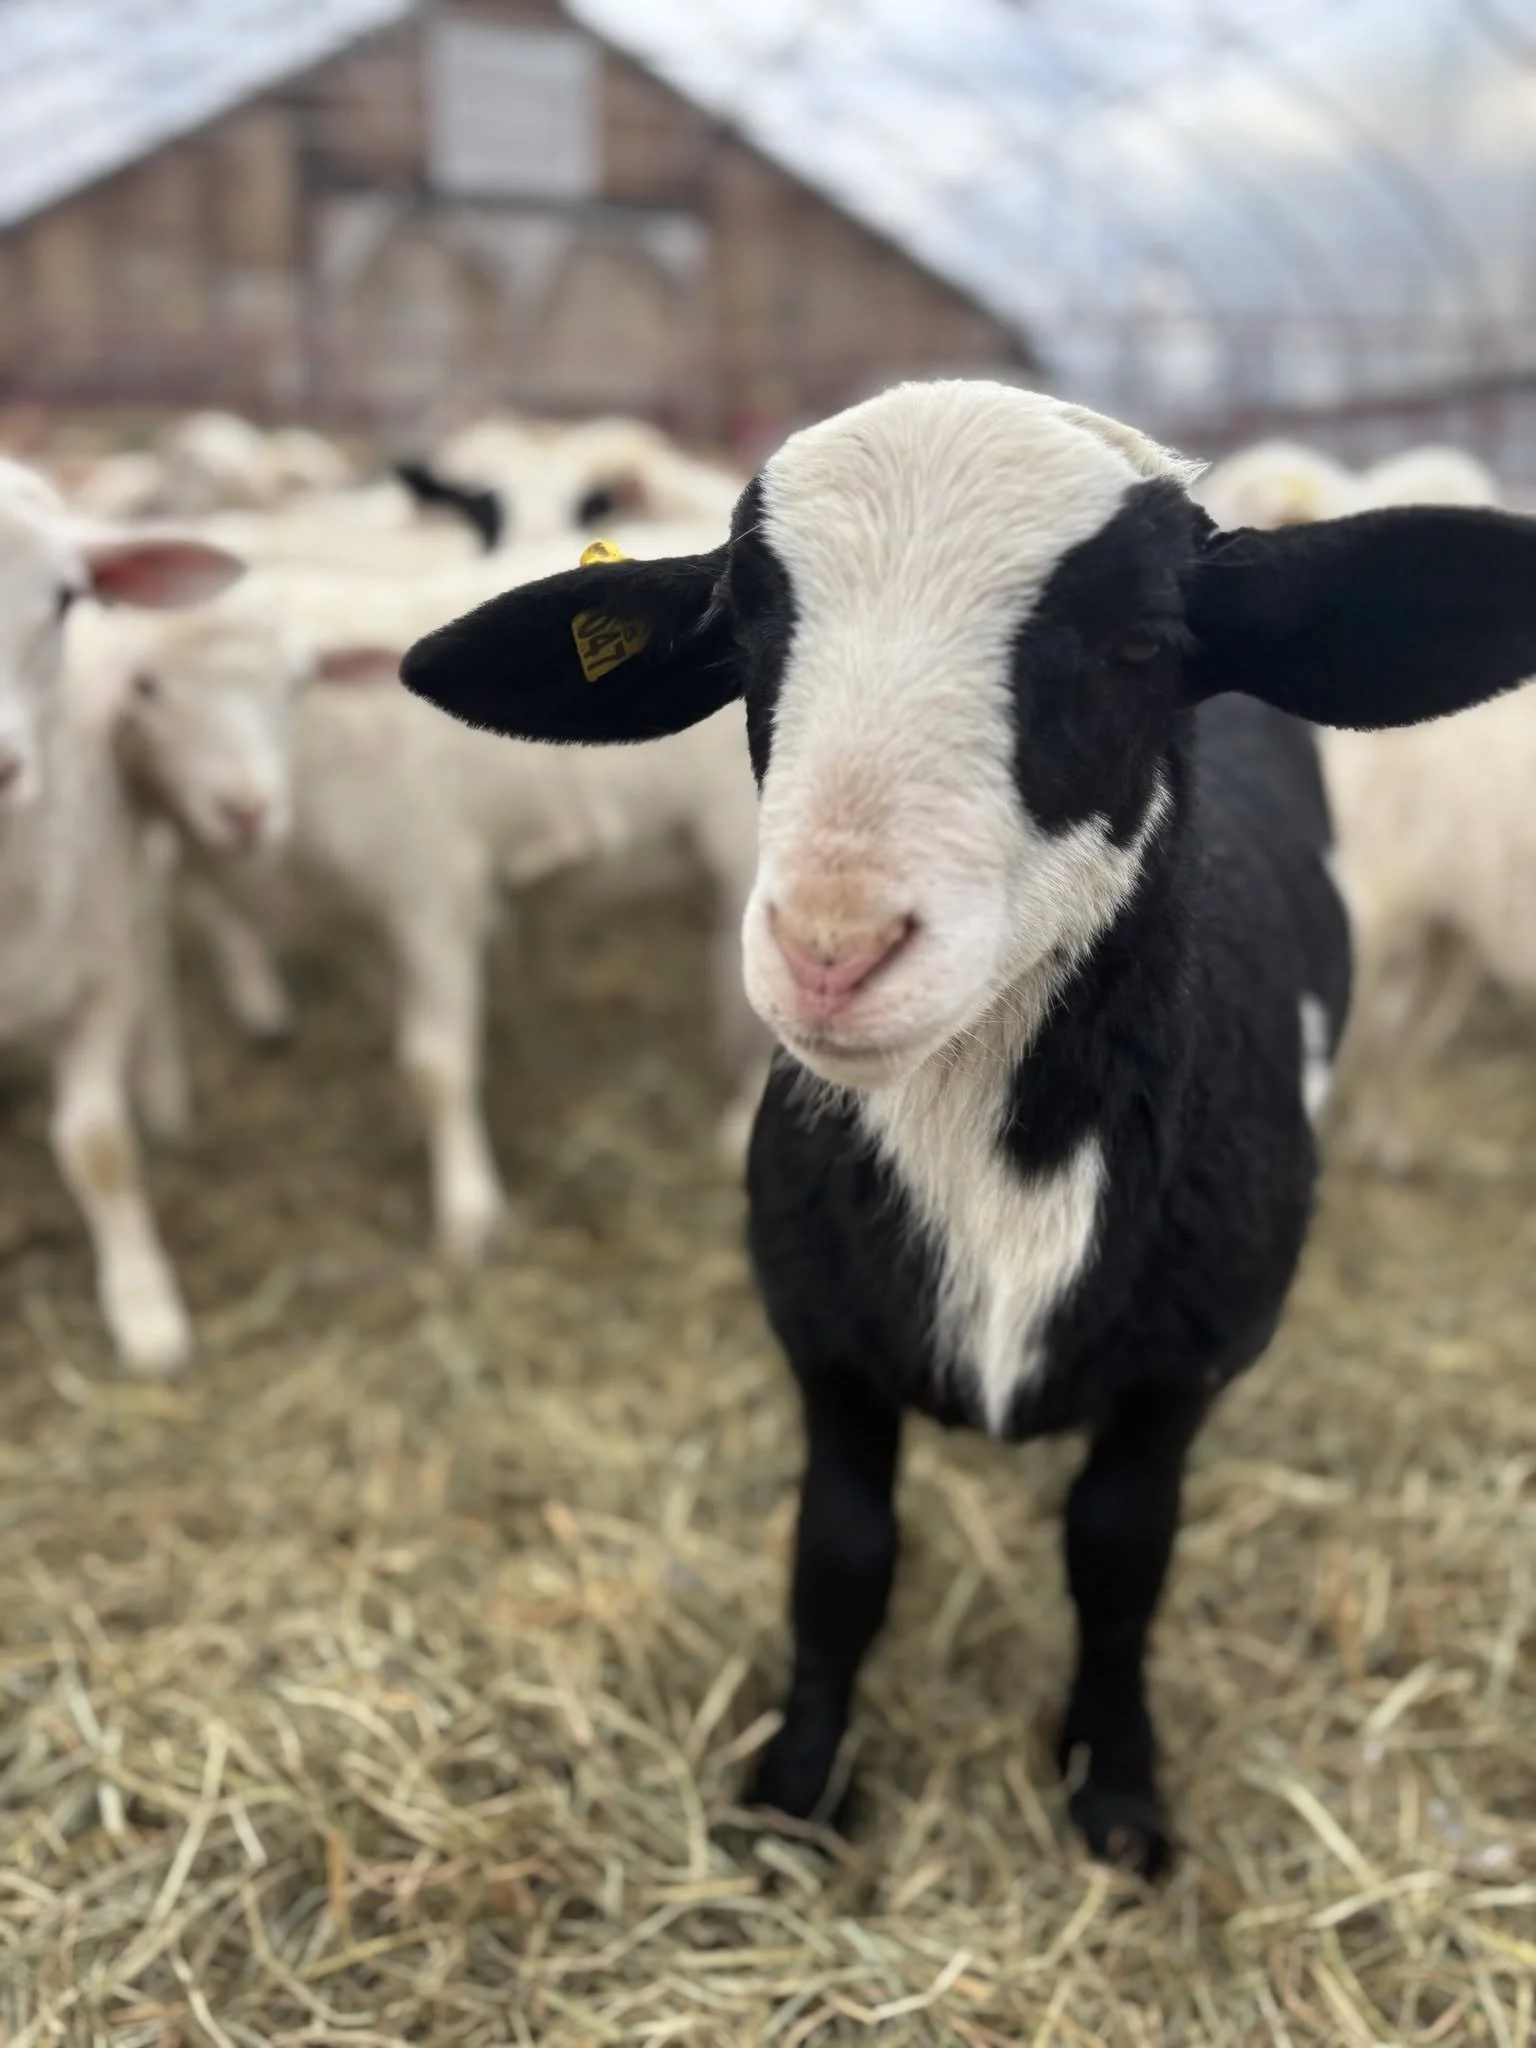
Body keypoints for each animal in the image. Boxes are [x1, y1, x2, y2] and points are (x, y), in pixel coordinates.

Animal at [90, 529, 764, 1266]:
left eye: (296, 683)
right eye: (145, 687)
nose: (246, 811)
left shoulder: (433, 894)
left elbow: (434, 1068)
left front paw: (469, 1216)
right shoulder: (379, 920)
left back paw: (736, 1131)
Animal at [399, 379, 1536, 1873]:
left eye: (1142, 642)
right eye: (748, 632)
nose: (831, 949)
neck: (1000, 1161)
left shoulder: (1184, 1368)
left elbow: (1118, 1560)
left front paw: (1116, 1794)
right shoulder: (821, 1334)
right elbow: (841, 1558)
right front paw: (798, 1790)